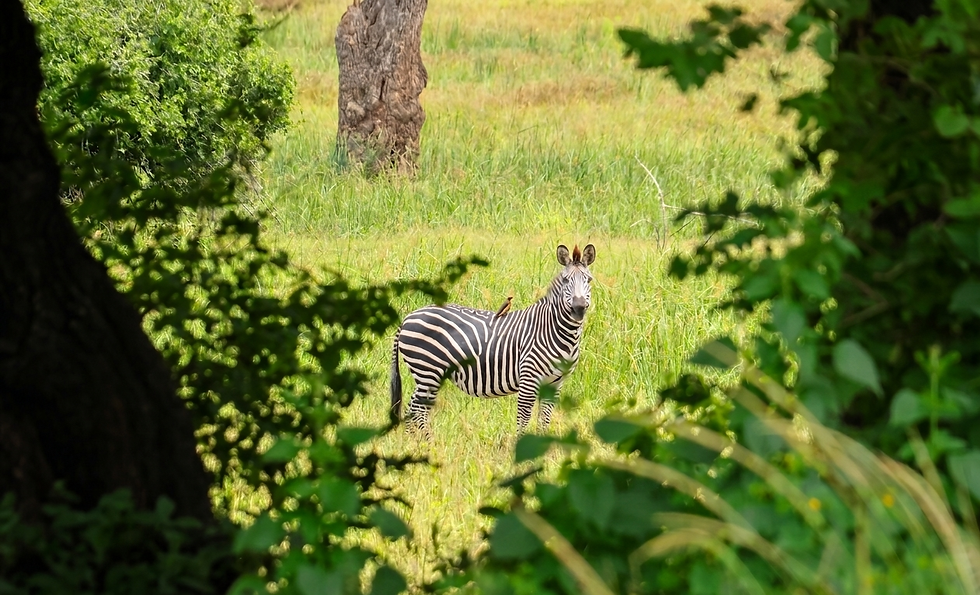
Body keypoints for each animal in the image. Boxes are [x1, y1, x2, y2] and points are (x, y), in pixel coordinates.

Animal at [390, 243, 596, 437]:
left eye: (589, 280)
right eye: (566, 280)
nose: (579, 308)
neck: (555, 330)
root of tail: (407, 317)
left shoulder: (555, 383)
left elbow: (544, 419)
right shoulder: (528, 378)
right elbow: (523, 417)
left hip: (429, 374)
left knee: (414, 408)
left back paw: (415, 443)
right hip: (428, 370)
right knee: (417, 409)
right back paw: (426, 443)